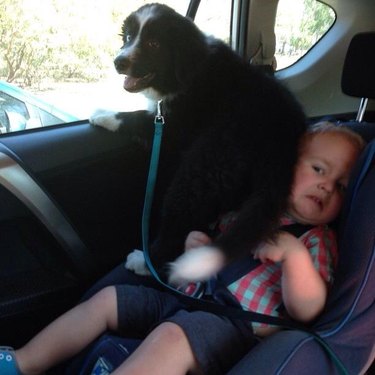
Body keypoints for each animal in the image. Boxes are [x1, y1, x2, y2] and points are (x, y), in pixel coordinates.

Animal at [89, 3, 306, 284]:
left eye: (154, 44)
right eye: (128, 37)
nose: (119, 62)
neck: (189, 70)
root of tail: (283, 145)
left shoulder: (176, 126)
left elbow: (137, 117)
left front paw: (103, 114)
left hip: (208, 163)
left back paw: (145, 260)